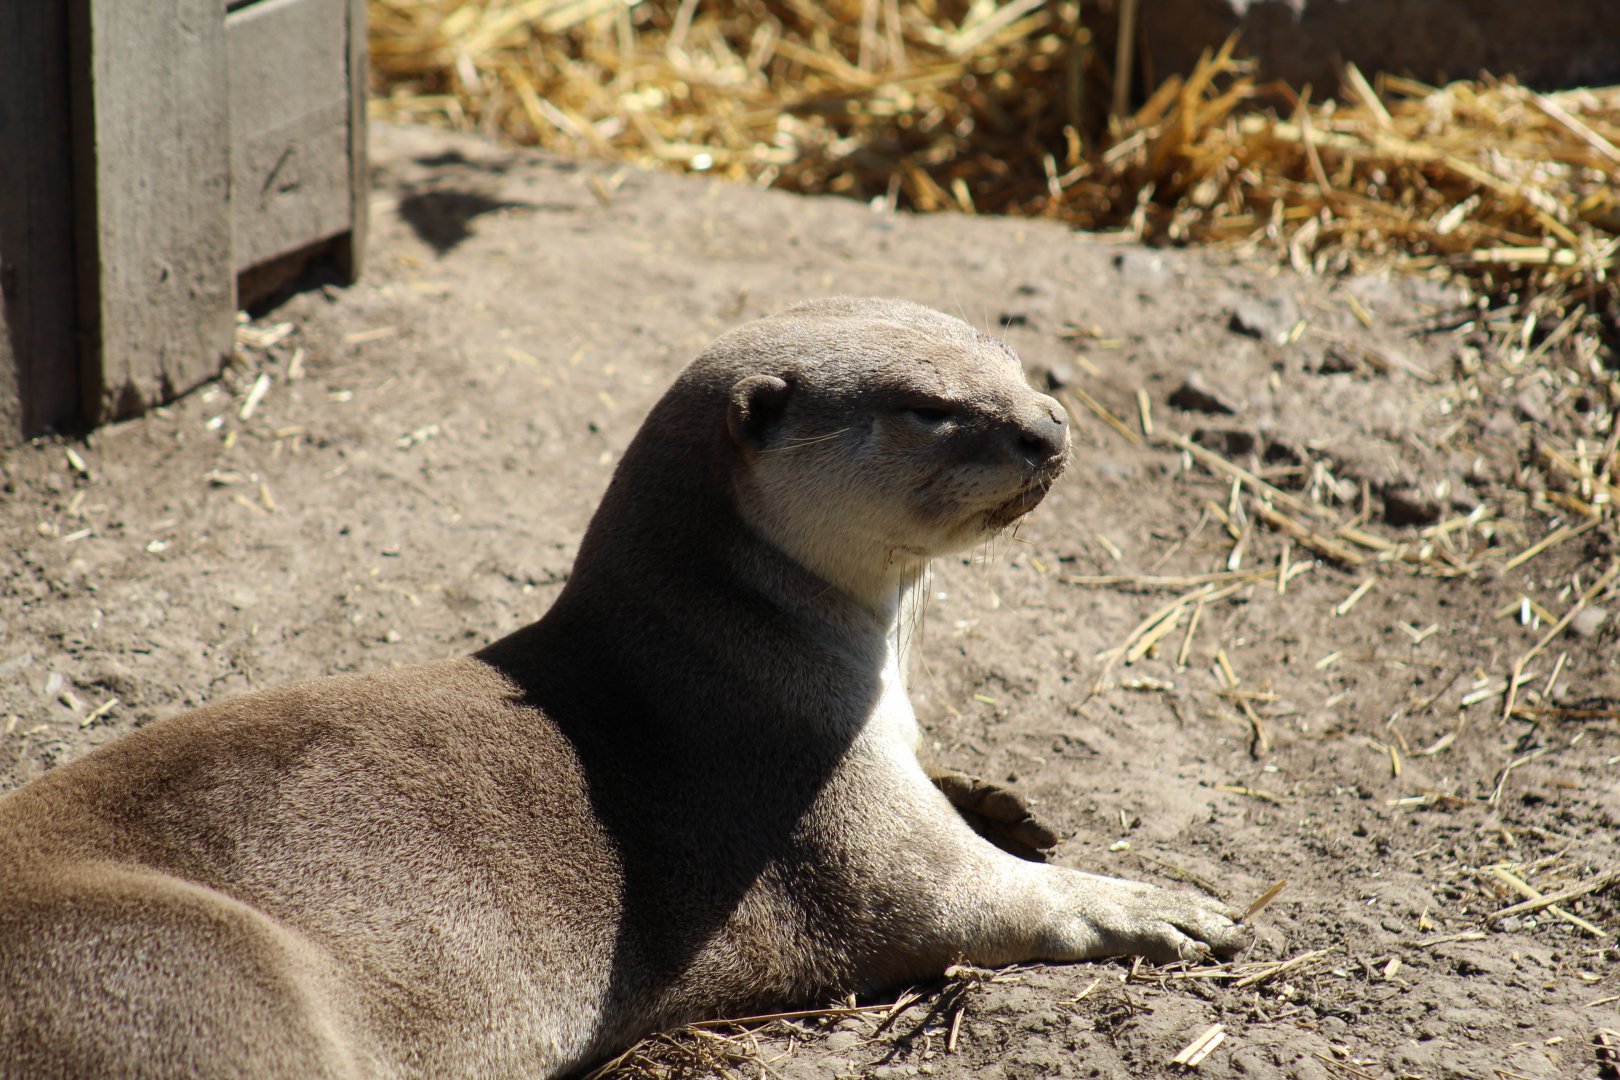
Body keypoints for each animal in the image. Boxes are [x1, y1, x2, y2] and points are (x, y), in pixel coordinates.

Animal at [0, 298, 1244, 1078]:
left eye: (1011, 358)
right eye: (930, 407)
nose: (1045, 427)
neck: (727, 655)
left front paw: (1012, 801)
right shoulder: (822, 809)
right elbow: (974, 900)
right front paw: (1154, 904)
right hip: (187, 972)